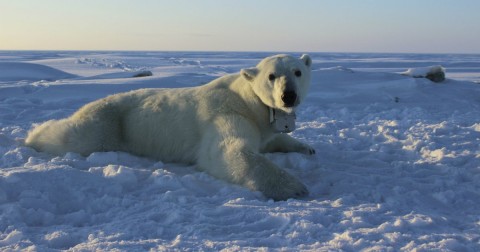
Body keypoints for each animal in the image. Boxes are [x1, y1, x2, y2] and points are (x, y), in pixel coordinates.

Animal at [25, 54, 316, 200]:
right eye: (271, 76)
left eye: (297, 71)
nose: (288, 96)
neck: (247, 99)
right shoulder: (227, 114)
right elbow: (228, 151)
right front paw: (294, 187)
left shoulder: (260, 122)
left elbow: (272, 139)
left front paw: (307, 148)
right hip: (108, 123)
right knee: (74, 136)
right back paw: (32, 136)